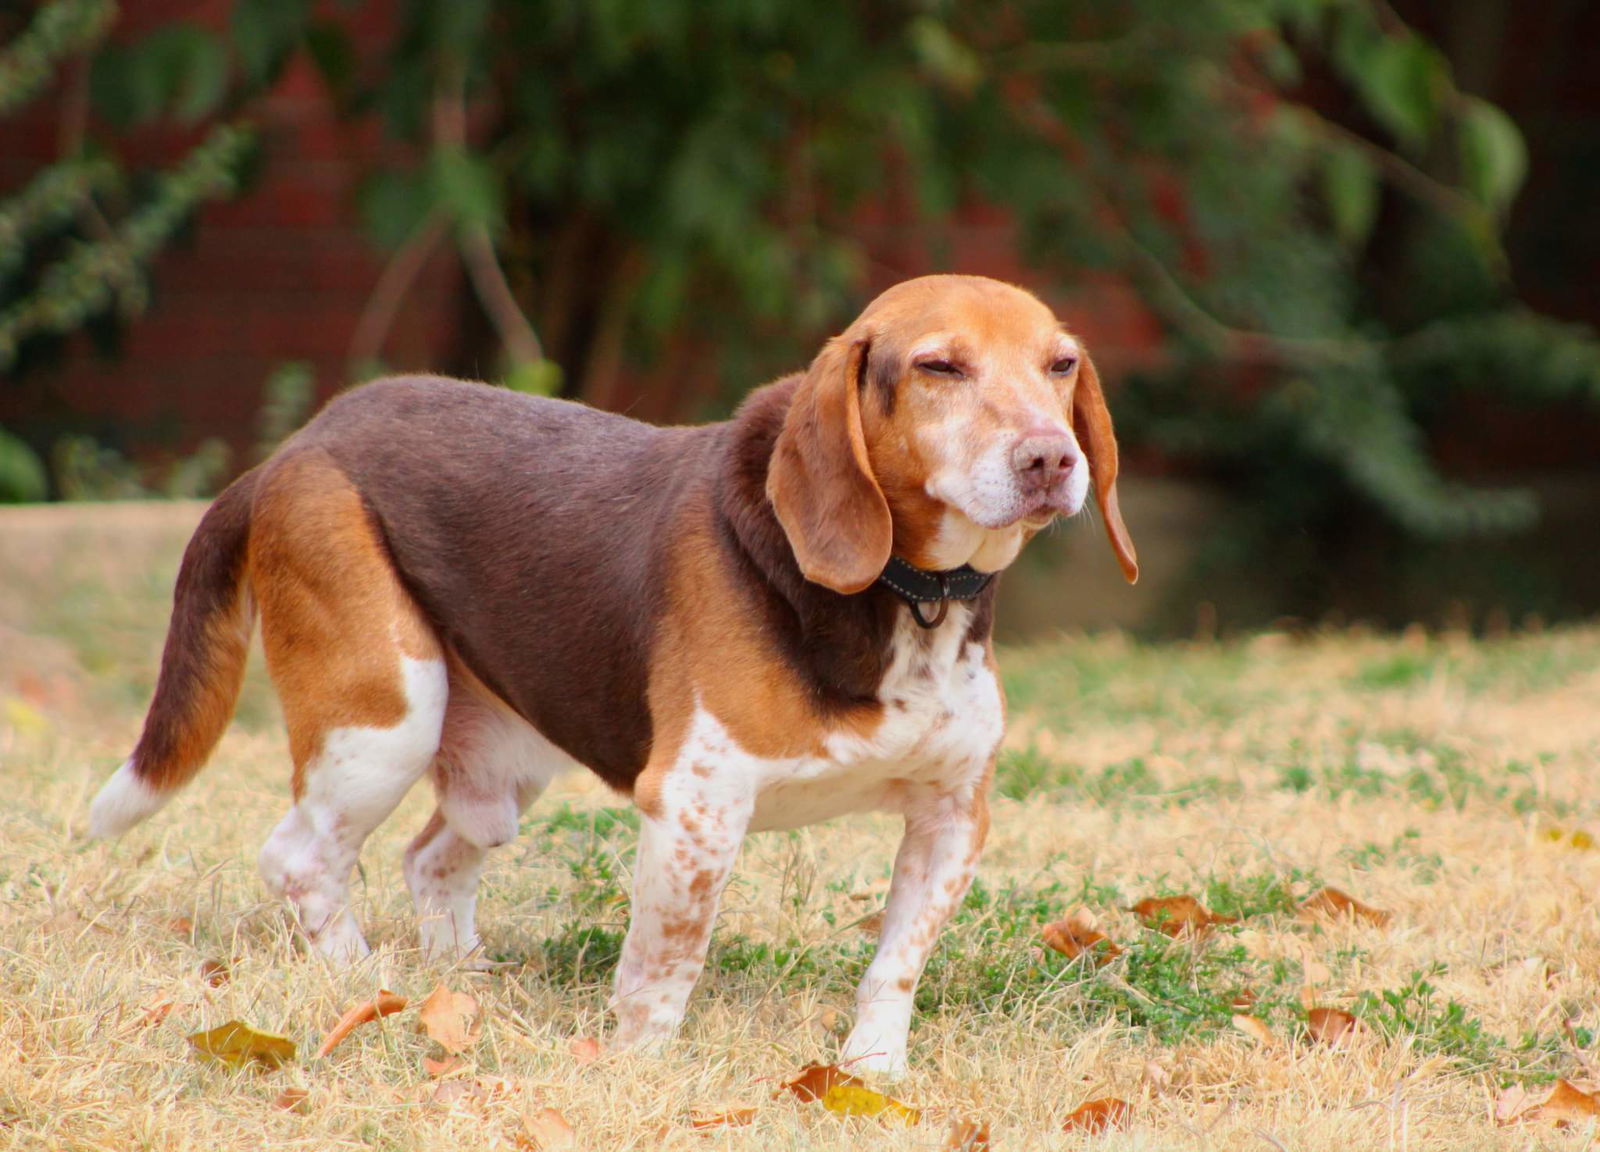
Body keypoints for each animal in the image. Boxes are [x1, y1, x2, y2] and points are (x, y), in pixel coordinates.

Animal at [90, 275, 1139, 1075]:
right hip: (387, 718)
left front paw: (874, 1071)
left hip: (501, 762)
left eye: (1060, 365)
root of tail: (295, 449)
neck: (908, 599)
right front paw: (639, 1072)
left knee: (433, 858)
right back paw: (365, 985)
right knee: (302, 858)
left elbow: (895, 967)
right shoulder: (697, 807)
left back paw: (458, 987)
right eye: (939, 367)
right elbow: (665, 966)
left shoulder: (952, 816)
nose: (1052, 459)